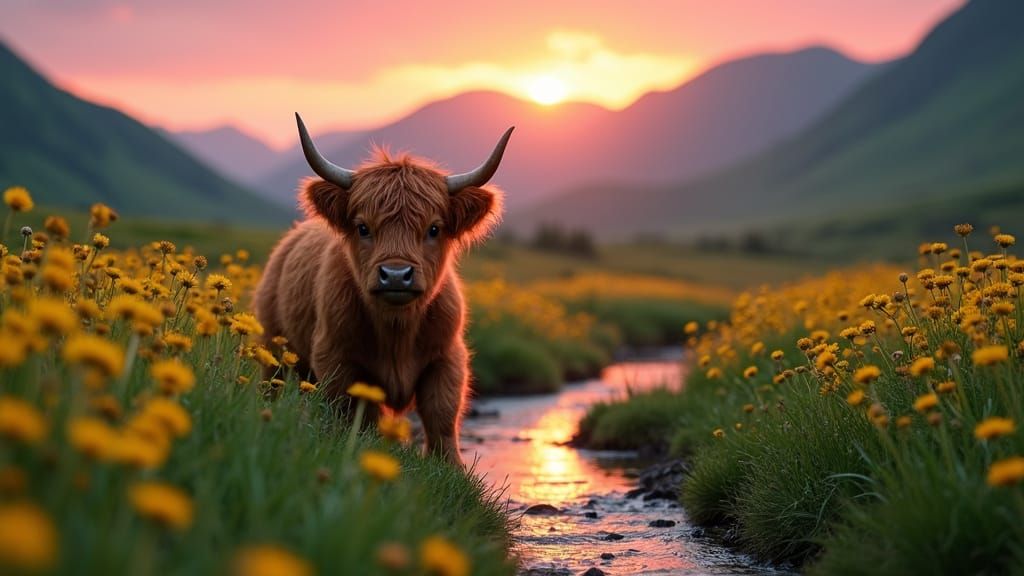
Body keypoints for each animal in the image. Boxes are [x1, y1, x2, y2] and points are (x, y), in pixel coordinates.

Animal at [253, 113, 513, 466]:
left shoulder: (447, 358)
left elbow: (442, 418)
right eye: (363, 227)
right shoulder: (337, 359)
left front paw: (454, 470)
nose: (396, 275)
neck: (396, 330)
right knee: (274, 385)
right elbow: (355, 417)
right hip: (273, 348)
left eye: (434, 228)